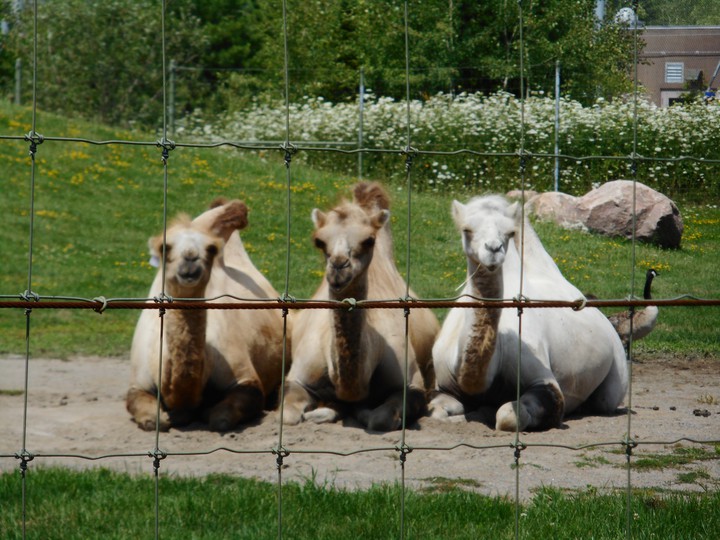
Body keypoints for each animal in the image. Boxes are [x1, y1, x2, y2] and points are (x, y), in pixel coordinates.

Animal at [127, 198, 287, 432]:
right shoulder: (138, 382)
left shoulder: (245, 377)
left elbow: (222, 418)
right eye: (165, 247)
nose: (190, 261)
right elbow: (149, 417)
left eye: (210, 249)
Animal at [283, 181, 439, 431]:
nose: (339, 267)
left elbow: (381, 418)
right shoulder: (297, 377)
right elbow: (288, 416)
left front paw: (361, 411)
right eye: (319, 241)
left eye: (369, 240)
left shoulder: (412, 385)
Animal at [429, 194, 628, 431]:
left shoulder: (543, 380)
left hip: (617, 368)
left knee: (605, 400)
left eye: (510, 232)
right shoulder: (444, 385)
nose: (494, 249)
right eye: (466, 229)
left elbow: (508, 415)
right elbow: (436, 411)